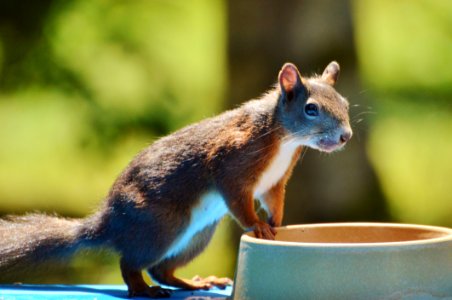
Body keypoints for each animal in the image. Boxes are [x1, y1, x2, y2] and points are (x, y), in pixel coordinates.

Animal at [0, 61, 354, 298]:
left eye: (345, 104)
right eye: (311, 109)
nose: (345, 136)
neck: (286, 139)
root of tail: (108, 224)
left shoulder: (274, 181)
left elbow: (274, 200)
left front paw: (277, 223)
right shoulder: (230, 163)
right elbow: (238, 199)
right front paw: (258, 226)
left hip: (197, 235)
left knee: (162, 270)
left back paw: (195, 283)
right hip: (163, 224)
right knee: (131, 263)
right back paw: (143, 289)